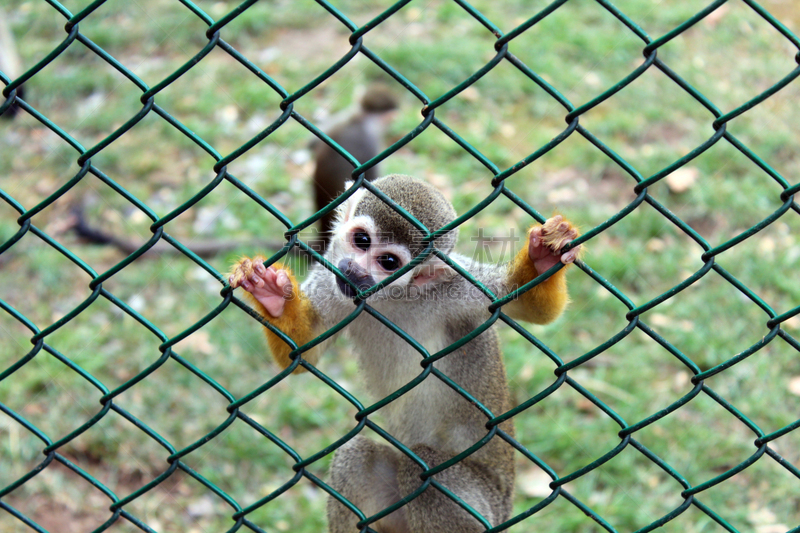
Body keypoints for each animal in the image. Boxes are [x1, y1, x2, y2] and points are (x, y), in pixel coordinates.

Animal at [227, 174, 580, 528]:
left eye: (388, 262)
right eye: (361, 240)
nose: (355, 271)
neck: (389, 299)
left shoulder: (453, 289)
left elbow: (526, 305)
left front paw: (544, 258)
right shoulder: (331, 278)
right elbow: (303, 352)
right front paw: (271, 294)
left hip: (485, 507)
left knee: (425, 471)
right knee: (356, 455)